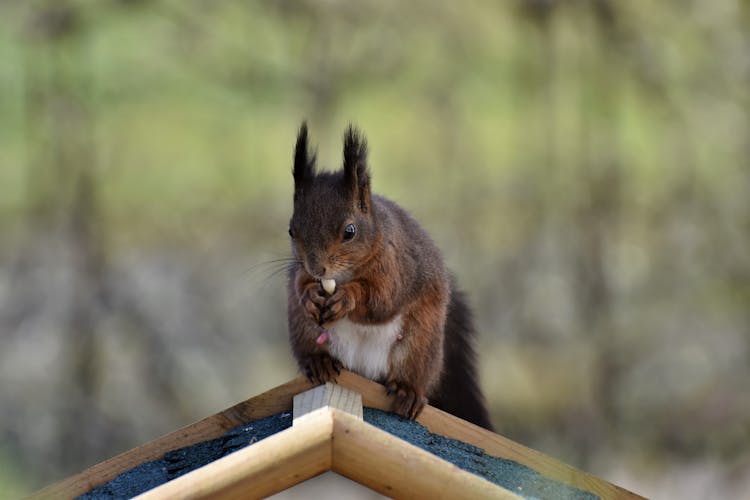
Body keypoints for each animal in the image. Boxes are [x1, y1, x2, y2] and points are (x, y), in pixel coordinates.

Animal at [286, 122, 494, 430]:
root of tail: (364, 371)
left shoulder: (396, 267)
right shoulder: (298, 271)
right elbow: (299, 286)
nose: (317, 269)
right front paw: (310, 295)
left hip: (419, 343)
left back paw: (408, 392)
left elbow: (381, 300)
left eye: (350, 231)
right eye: (292, 231)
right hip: (306, 331)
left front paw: (348, 298)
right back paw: (319, 361)